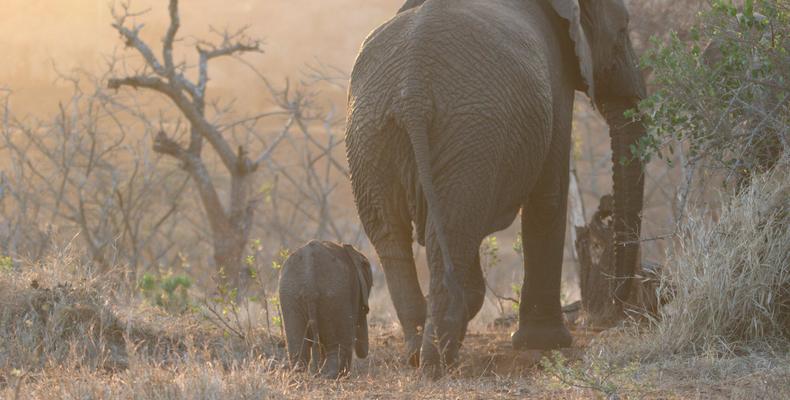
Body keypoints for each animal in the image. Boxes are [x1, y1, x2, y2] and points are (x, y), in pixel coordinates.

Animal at [278, 240, 373, 378]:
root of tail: (309, 285)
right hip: (335, 295)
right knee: (338, 346)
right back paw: (333, 375)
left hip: (290, 295)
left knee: (299, 348)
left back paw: (301, 374)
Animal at [345, 0, 647, 371]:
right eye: (622, 31)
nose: (614, 313)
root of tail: (411, 94)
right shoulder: (556, 77)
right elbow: (549, 197)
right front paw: (546, 343)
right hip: (468, 135)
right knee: (450, 229)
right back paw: (439, 359)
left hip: (371, 135)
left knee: (392, 235)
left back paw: (420, 352)